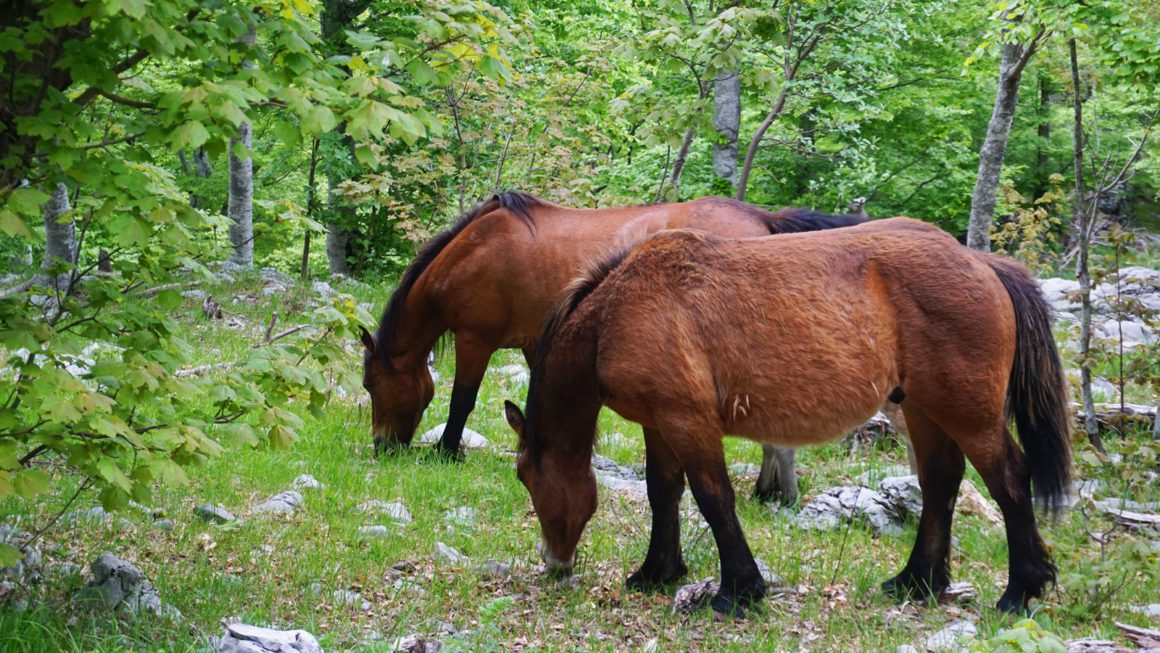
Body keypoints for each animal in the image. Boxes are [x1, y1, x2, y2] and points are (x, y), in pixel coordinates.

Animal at [359, 191, 863, 468]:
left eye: (369, 384)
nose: (381, 446)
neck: (476, 251)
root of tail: (763, 218)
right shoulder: (534, 341)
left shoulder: (475, 339)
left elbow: (461, 401)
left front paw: (446, 452)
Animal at [503, 219, 1071, 617]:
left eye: (525, 475)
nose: (554, 564)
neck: (618, 312)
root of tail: (981, 263)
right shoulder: (659, 426)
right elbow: (663, 493)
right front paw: (657, 572)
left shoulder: (688, 422)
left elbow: (713, 498)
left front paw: (738, 591)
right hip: (923, 410)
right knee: (940, 483)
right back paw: (917, 582)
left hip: (968, 415)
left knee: (1010, 481)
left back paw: (1020, 591)